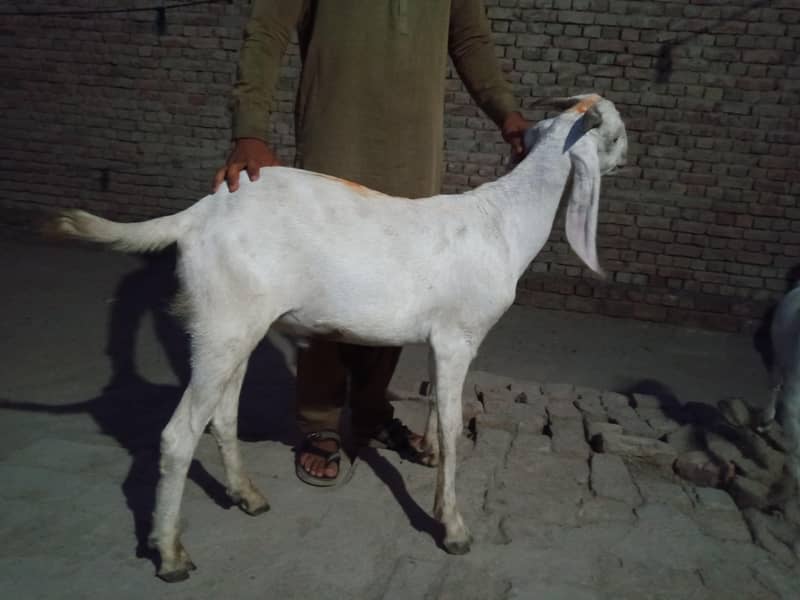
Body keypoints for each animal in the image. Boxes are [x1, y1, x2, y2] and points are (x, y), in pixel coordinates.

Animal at [50, 93, 628, 581]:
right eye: (618, 133)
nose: (629, 157)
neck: (502, 222)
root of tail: (196, 216)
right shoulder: (458, 337)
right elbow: (454, 426)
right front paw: (454, 529)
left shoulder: (440, 342)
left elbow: (438, 413)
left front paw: (427, 461)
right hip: (224, 325)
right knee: (176, 435)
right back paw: (171, 555)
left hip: (234, 326)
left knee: (222, 415)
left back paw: (247, 496)